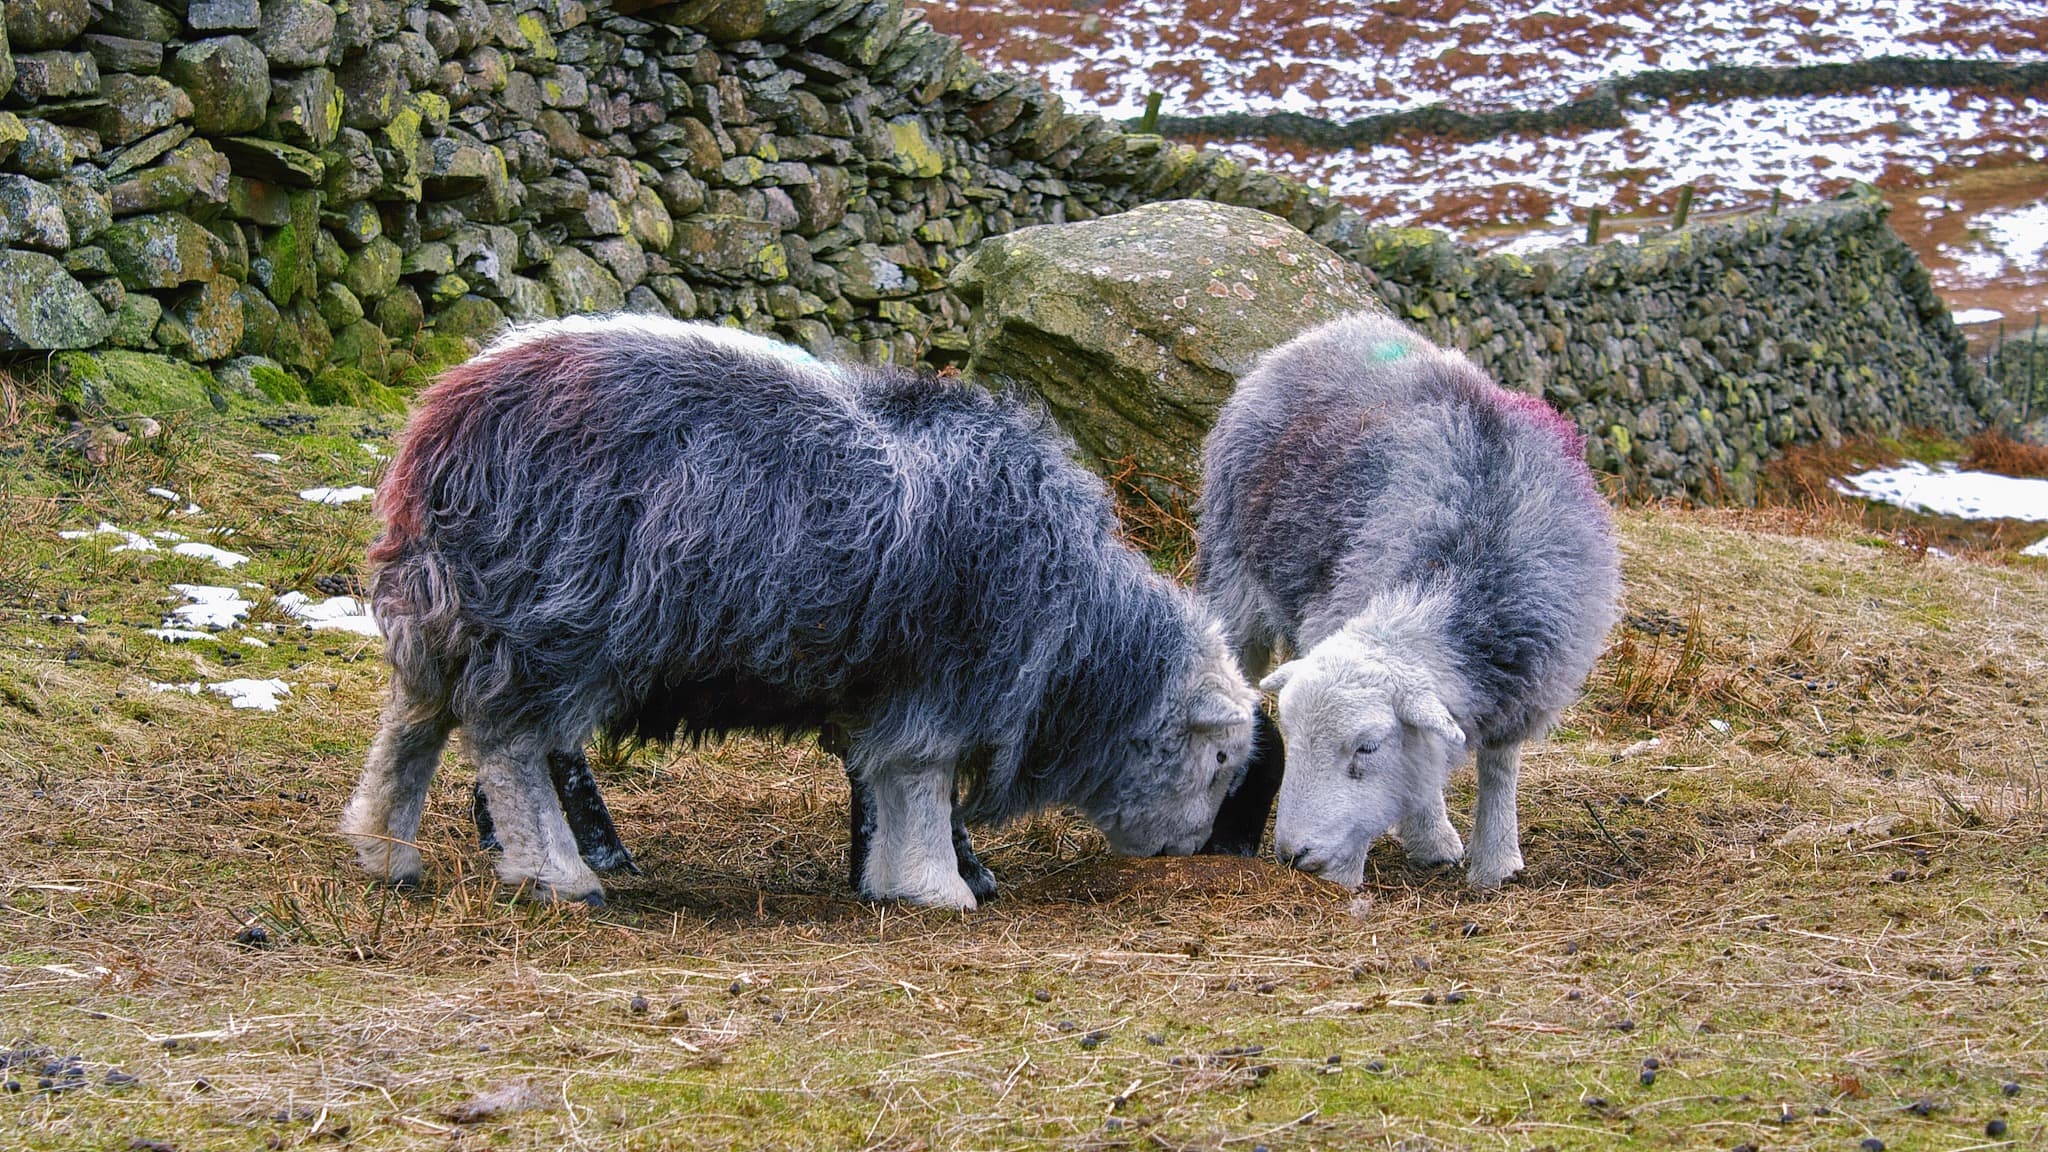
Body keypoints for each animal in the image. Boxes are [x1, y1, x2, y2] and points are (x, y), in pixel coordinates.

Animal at [1196, 311, 1613, 889]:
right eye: (1295, 736)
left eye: (1367, 747)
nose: (1294, 855)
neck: (1464, 563)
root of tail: (1333, 329)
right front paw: (1422, 843)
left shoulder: (1533, 677)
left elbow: (1499, 765)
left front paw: (1495, 860)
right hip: (1232, 567)